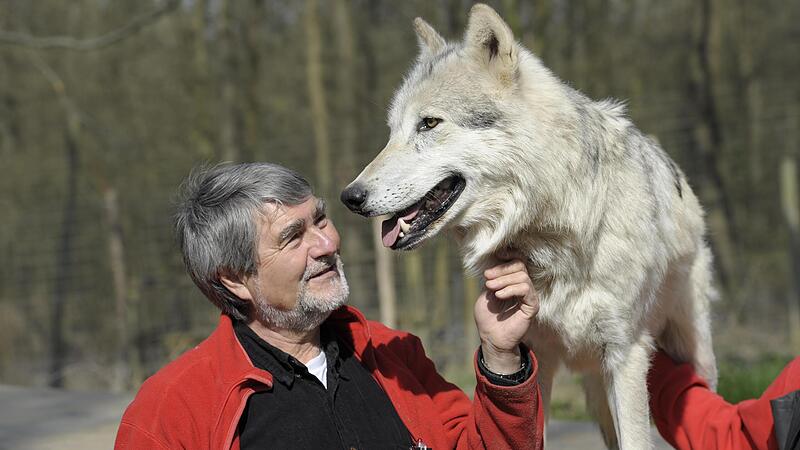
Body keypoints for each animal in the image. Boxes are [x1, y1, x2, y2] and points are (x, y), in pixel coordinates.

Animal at [341, 4, 717, 449]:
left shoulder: (624, 356)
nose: (350, 197)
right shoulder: (533, 356)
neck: (550, 239)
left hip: (689, 358)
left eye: (429, 124)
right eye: (392, 132)